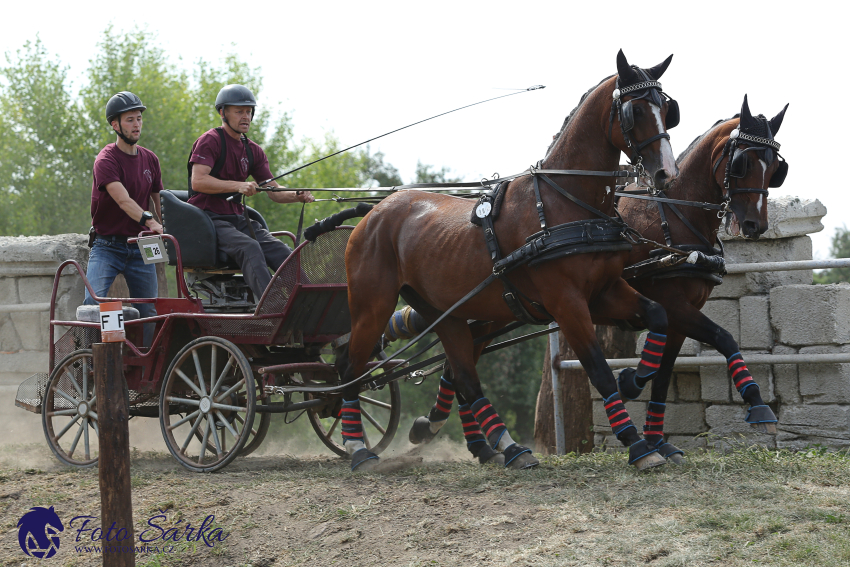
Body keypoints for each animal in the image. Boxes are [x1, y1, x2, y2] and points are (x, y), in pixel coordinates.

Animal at [336, 51, 676, 472]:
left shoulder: (603, 293)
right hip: (373, 306)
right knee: (351, 369)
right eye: (635, 110)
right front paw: (637, 443)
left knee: (463, 377)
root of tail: (373, 212)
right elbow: (598, 369)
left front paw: (634, 382)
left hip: (444, 313)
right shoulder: (567, 304)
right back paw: (357, 447)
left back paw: (506, 446)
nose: (667, 172)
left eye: (667, 109)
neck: (564, 204)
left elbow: (657, 316)